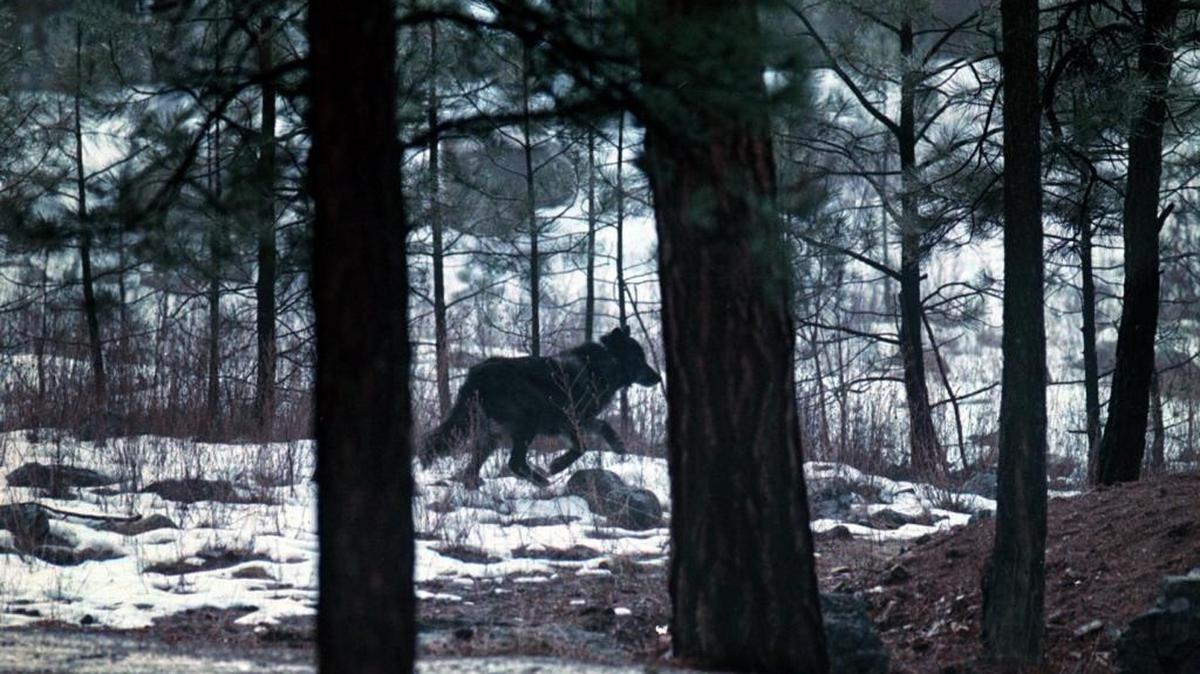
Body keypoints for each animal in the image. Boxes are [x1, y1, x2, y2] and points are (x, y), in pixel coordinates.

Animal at [420, 326, 662, 487]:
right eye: (639, 359)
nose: (659, 377)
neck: (605, 363)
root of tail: (477, 374)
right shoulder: (571, 420)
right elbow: (583, 446)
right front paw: (558, 465)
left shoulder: (580, 420)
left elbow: (601, 428)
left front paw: (618, 444)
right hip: (527, 422)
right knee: (514, 462)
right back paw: (542, 481)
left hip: (490, 434)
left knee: (472, 466)